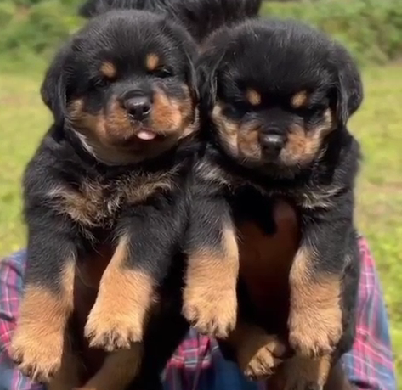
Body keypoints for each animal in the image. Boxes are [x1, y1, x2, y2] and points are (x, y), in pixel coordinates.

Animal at [10, 9, 201, 390]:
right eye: (101, 82)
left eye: (163, 73)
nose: (138, 106)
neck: (113, 169)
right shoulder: (53, 211)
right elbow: (45, 284)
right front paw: (36, 345)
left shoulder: (157, 210)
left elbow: (127, 265)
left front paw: (113, 319)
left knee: (123, 366)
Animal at [195, 16, 364, 388]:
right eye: (245, 104)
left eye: (307, 110)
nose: (272, 141)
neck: (269, 180)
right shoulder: (208, 186)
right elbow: (216, 249)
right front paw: (210, 303)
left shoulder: (330, 206)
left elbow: (313, 267)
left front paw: (314, 327)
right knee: (239, 326)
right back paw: (257, 351)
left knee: (333, 344)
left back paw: (303, 371)